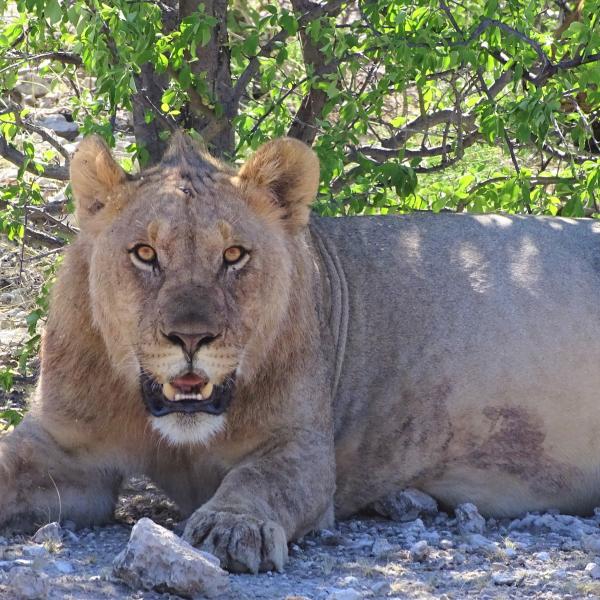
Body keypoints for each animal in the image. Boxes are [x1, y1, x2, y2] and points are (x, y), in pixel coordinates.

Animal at [2, 134, 600, 576]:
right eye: (145, 253)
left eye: (234, 256)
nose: (191, 339)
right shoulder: (63, 444)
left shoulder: (303, 448)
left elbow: (259, 481)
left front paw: (232, 528)